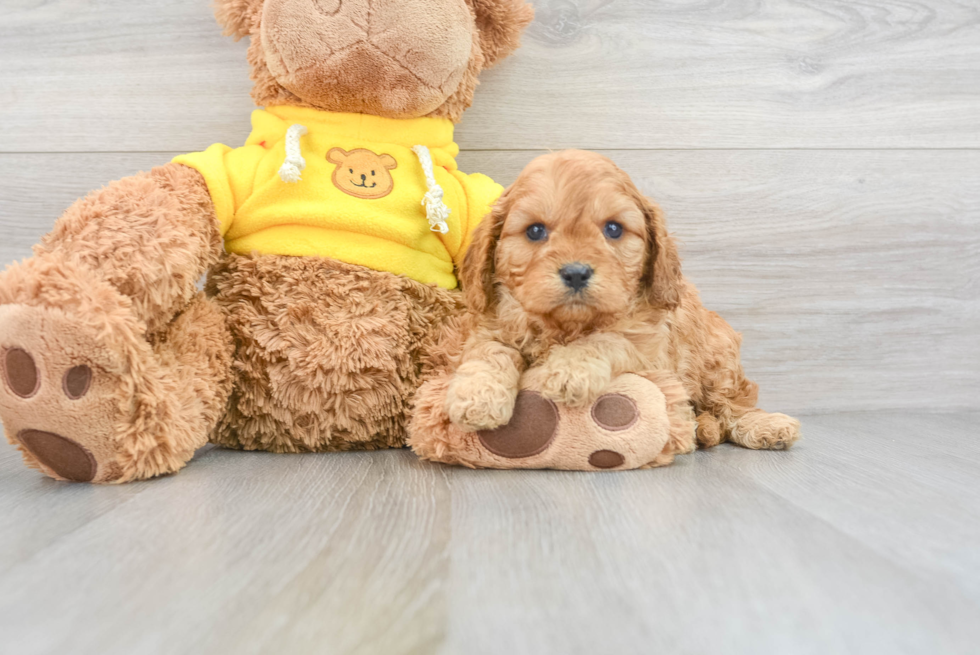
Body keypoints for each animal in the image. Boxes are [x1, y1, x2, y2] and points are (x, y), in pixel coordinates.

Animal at [440, 149, 800, 458]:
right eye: (535, 231)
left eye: (613, 229)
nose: (575, 273)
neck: (566, 325)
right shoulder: (491, 326)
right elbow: (490, 352)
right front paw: (477, 397)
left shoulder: (647, 346)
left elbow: (608, 339)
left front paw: (570, 370)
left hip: (718, 358)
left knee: (733, 404)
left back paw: (765, 426)